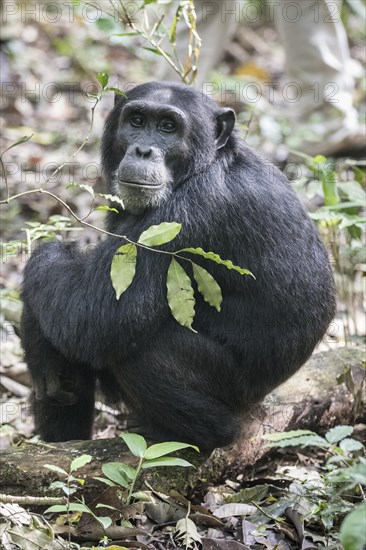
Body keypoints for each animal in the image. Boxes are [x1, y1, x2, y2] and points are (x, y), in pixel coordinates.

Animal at [19, 82, 334, 452]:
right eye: (137, 121)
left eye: (168, 127)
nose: (143, 150)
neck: (205, 166)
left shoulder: (187, 215)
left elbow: (93, 315)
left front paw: (36, 312)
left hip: (233, 392)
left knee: (143, 351)